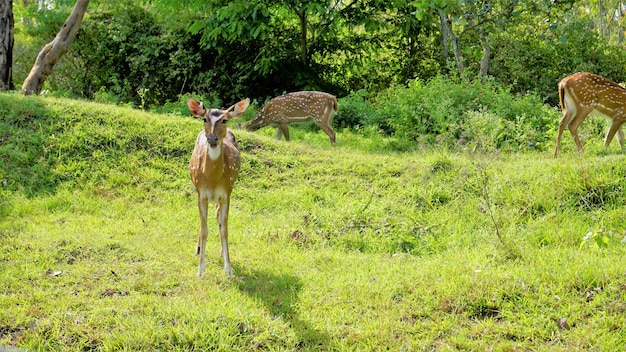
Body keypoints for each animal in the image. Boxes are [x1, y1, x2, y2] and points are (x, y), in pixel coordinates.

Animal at [186, 97, 250, 278]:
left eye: (224, 120)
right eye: (204, 119)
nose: (213, 139)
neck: (213, 180)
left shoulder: (226, 193)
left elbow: (224, 230)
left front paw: (229, 270)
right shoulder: (201, 193)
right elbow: (204, 229)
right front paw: (200, 271)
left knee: (219, 219)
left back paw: (222, 253)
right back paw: (198, 249)